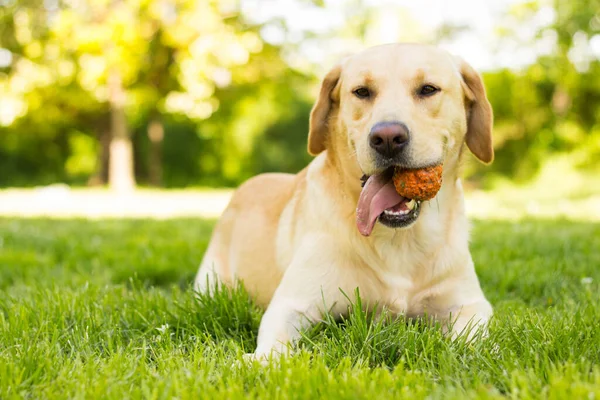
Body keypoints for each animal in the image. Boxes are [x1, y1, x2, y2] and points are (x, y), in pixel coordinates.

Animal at [195, 43, 494, 360]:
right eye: (362, 91)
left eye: (428, 89)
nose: (388, 137)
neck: (399, 239)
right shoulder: (292, 303)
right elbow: (275, 345)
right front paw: (259, 361)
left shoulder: (470, 304)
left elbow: (473, 341)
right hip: (211, 284)